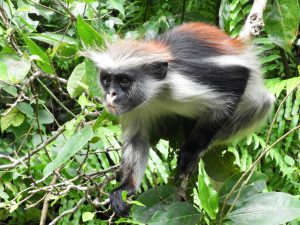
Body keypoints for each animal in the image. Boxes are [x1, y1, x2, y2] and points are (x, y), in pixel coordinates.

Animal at [83, 22, 276, 216]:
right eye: (107, 80)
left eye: (124, 81)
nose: (111, 94)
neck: (155, 95)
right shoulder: (132, 107)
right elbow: (137, 139)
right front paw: (126, 187)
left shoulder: (181, 86)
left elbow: (236, 84)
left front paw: (190, 153)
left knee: (262, 102)